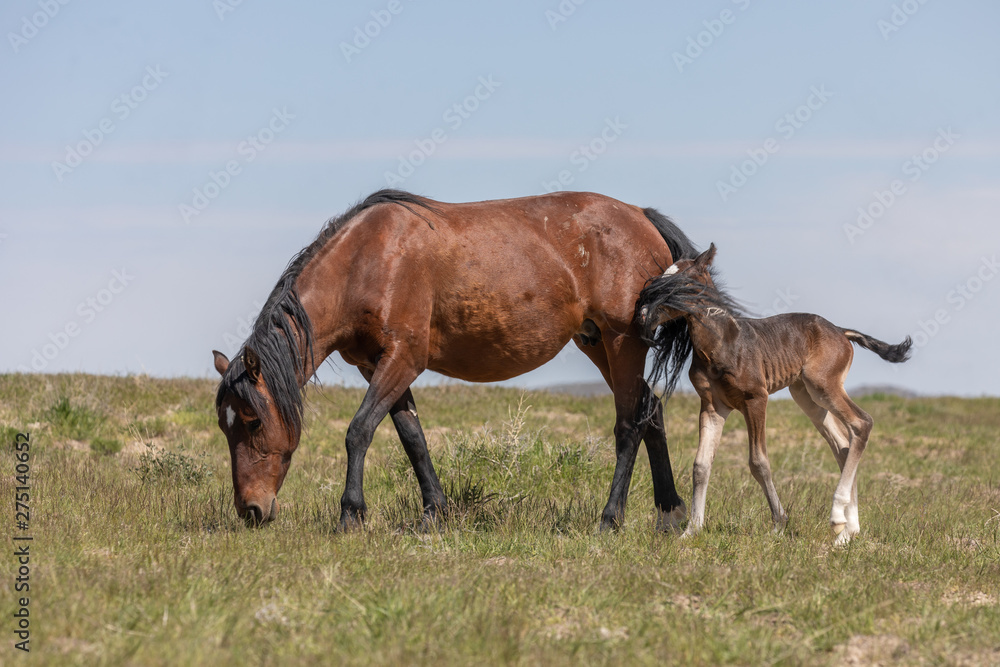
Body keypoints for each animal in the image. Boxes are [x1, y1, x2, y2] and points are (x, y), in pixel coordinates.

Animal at [211, 189, 698, 532]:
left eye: (252, 421)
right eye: (225, 425)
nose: (251, 510)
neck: (367, 261)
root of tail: (642, 216)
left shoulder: (402, 359)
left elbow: (359, 431)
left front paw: (351, 515)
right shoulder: (378, 367)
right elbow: (412, 438)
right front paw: (433, 514)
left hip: (622, 343)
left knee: (629, 424)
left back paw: (610, 519)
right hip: (596, 345)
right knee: (651, 411)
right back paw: (670, 514)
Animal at [636, 244, 912, 544]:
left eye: (682, 283)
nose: (643, 313)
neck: (721, 343)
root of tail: (841, 331)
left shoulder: (756, 399)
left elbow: (759, 462)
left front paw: (779, 523)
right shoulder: (712, 406)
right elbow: (701, 465)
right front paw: (691, 530)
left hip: (824, 385)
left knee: (862, 423)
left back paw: (838, 516)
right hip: (807, 396)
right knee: (843, 444)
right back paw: (846, 532)